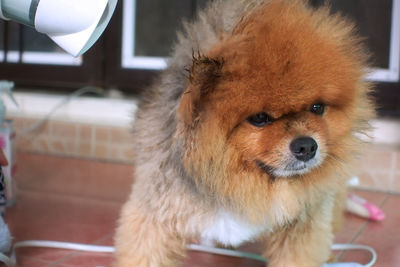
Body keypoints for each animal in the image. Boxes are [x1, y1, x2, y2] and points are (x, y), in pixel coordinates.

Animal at [114, 1, 374, 266]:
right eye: (259, 118)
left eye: (317, 108)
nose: (307, 146)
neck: (236, 180)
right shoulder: (157, 216)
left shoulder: (302, 225)